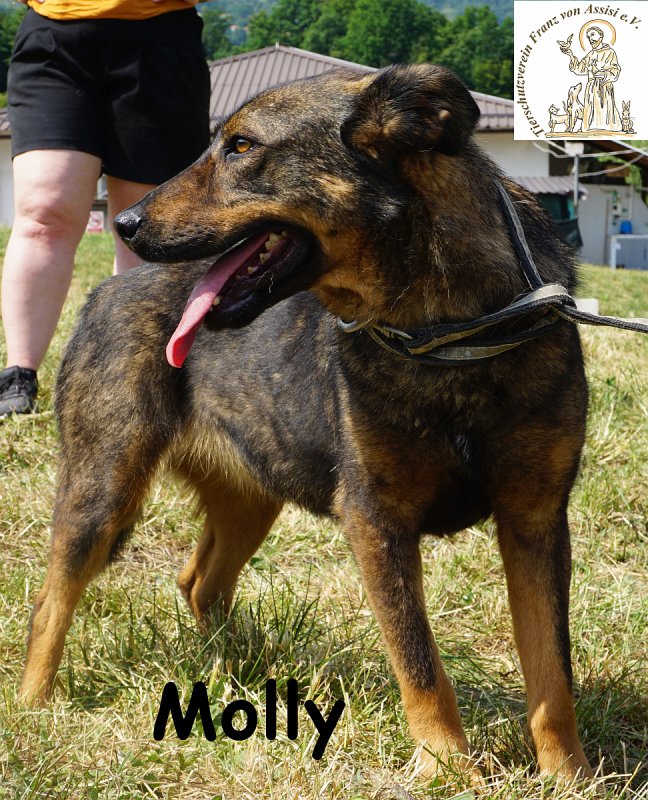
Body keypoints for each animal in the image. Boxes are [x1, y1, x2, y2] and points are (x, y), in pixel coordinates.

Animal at [21, 64, 594, 782]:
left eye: (240, 146)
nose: (122, 222)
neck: (446, 329)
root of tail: (107, 287)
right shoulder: (376, 522)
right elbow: (421, 664)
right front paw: (448, 771)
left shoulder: (535, 519)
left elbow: (552, 670)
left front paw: (569, 775)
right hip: (103, 488)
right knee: (52, 600)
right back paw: (34, 709)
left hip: (251, 496)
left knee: (199, 582)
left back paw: (232, 669)